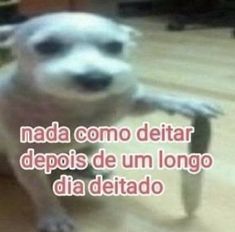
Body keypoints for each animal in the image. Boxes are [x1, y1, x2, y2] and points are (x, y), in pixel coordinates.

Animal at [0, 12, 220, 232]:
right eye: (47, 46)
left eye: (115, 46)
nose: (96, 78)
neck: (74, 104)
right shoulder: (27, 162)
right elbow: (42, 192)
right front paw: (54, 216)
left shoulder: (125, 103)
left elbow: (152, 97)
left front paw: (185, 102)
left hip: (92, 144)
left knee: (74, 162)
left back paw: (89, 170)